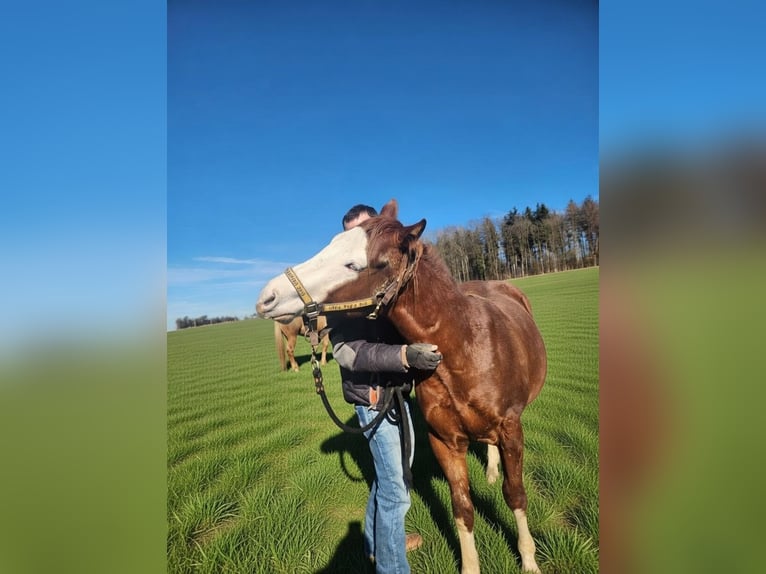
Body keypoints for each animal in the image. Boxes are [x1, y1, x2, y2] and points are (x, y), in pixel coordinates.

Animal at [256, 199, 547, 574]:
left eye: (355, 264)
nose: (268, 297)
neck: (464, 347)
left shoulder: (511, 430)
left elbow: (516, 495)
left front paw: (529, 559)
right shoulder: (445, 441)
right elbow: (462, 508)